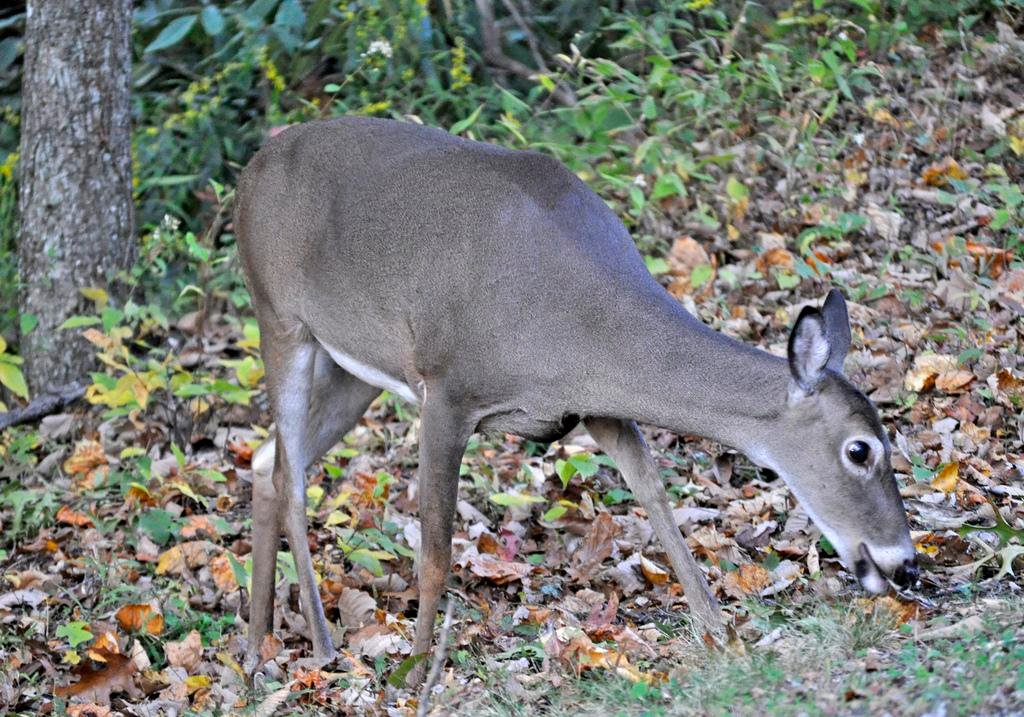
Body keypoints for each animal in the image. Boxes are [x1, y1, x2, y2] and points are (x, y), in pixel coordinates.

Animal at [234, 114, 921, 680]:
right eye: (860, 450)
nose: (906, 564)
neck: (577, 328)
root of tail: (251, 168)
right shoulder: (448, 387)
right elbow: (434, 553)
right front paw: (416, 673)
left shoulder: (596, 407)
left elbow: (656, 500)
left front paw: (720, 635)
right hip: (279, 315)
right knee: (291, 477)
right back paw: (322, 646)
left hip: (353, 368)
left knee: (266, 462)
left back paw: (257, 649)